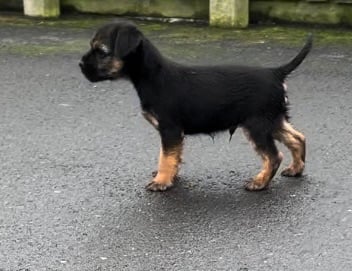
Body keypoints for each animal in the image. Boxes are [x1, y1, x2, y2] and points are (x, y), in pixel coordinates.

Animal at [79, 20, 310, 191]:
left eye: (101, 51)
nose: (80, 65)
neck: (152, 75)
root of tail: (276, 72)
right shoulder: (172, 133)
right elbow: (171, 156)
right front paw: (170, 176)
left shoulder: (169, 129)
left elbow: (166, 157)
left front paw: (161, 181)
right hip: (273, 120)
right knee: (297, 138)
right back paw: (296, 169)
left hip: (257, 126)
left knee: (273, 156)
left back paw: (260, 182)